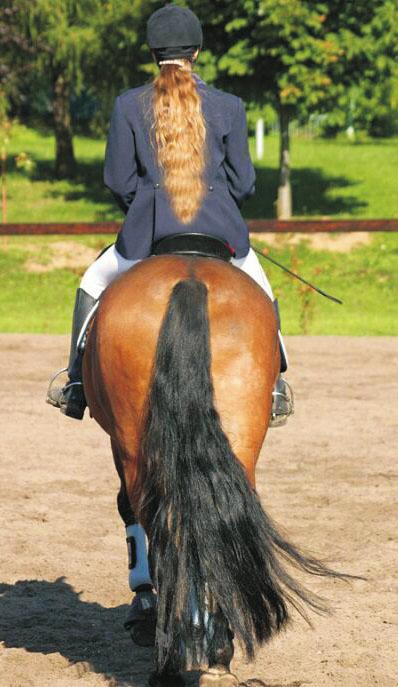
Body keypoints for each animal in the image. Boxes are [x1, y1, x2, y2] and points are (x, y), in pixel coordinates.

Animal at [83, 253, 346, 687]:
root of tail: (190, 279)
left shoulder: (120, 448)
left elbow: (127, 511)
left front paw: (145, 610)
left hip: (135, 445)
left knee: (164, 530)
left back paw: (171, 661)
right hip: (240, 436)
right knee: (215, 524)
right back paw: (217, 657)